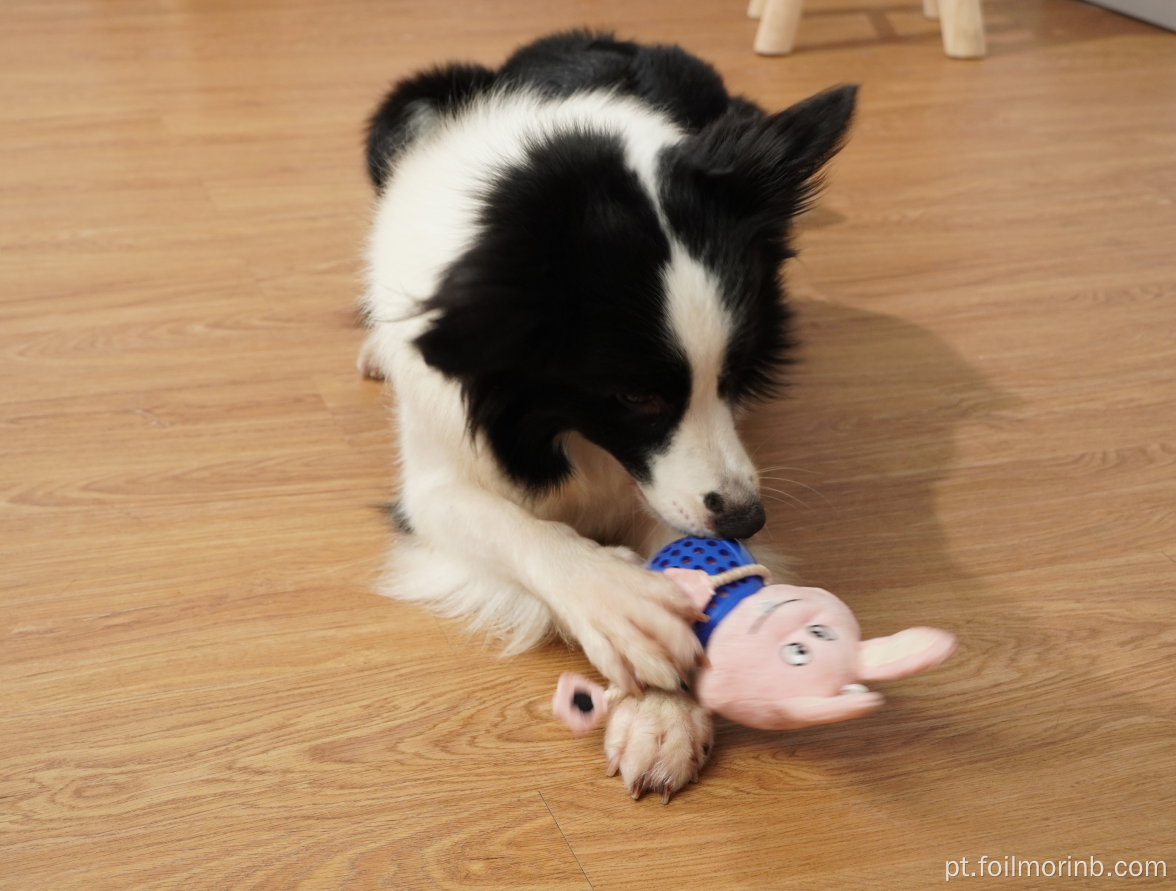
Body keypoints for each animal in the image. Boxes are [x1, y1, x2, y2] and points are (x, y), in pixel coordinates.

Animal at [357, 33, 856, 804]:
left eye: (737, 370)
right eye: (633, 396)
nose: (750, 520)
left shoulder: (683, 476)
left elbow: (684, 537)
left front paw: (663, 713)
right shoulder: (434, 480)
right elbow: (513, 526)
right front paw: (620, 608)